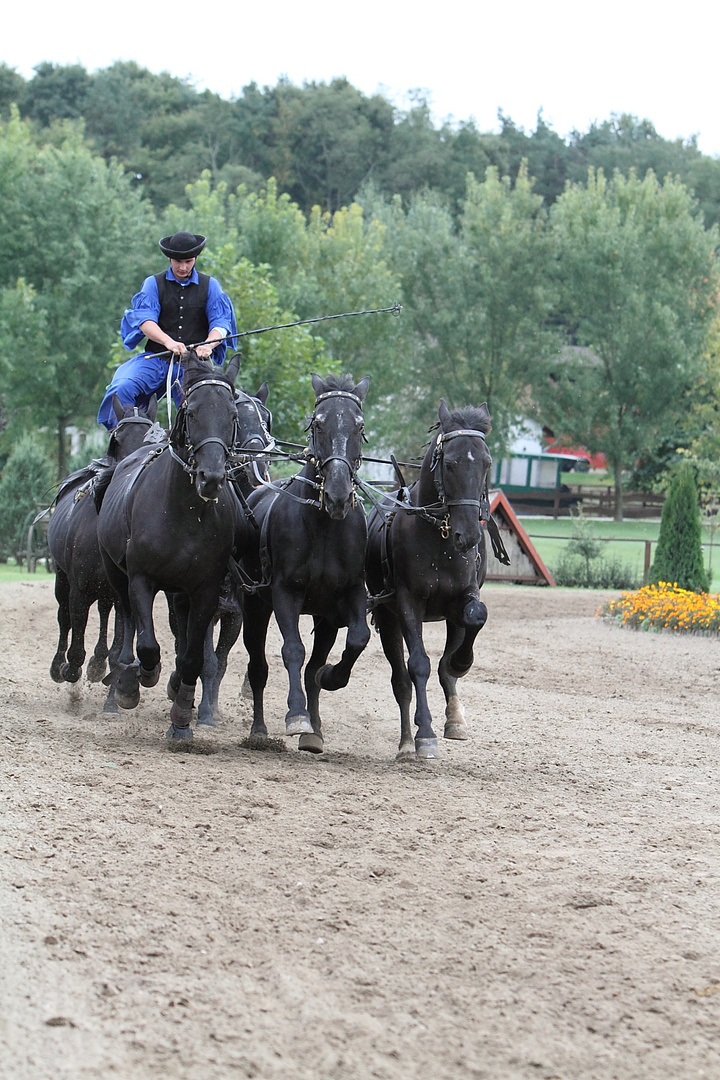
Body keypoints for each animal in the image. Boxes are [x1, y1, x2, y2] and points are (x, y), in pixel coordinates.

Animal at [47, 397, 160, 682]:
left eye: (153, 437)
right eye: (116, 439)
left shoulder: (122, 586)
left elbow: (119, 630)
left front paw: (105, 663)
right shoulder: (79, 586)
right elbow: (75, 622)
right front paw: (70, 666)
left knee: (104, 611)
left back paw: (98, 659)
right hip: (61, 574)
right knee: (64, 615)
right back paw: (58, 664)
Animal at [97, 349, 248, 738]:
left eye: (232, 415)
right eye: (191, 412)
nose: (211, 477)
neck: (185, 512)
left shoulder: (205, 589)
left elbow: (194, 656)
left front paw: (181, 717)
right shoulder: (141, 579)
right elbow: (148, 645)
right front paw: (134, 682)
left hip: (181, 592)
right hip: (116, 575)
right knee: (128, 622)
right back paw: (126, 677)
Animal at [241, 371, 371, 751]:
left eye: (359, 425)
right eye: (318, 423)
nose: (338, 494)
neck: (324, 523)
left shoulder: (346, 598)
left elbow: (356, 640)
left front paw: (330, 680)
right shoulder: (285, 592)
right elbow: (293, 651)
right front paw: (296, 715)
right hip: (254, 606)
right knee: (258, 667)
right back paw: (259, 730)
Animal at [367, 397, 496, 760]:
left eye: (486, 463)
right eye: (450, 464)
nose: (469, 535)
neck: (440, 539)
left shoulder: (462, 598)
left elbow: (473, 621)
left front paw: (461, 665)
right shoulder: (407, 602)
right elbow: (419, 665)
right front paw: (424, 734)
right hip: (387, 616)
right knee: (401, 681)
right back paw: (406, 743)